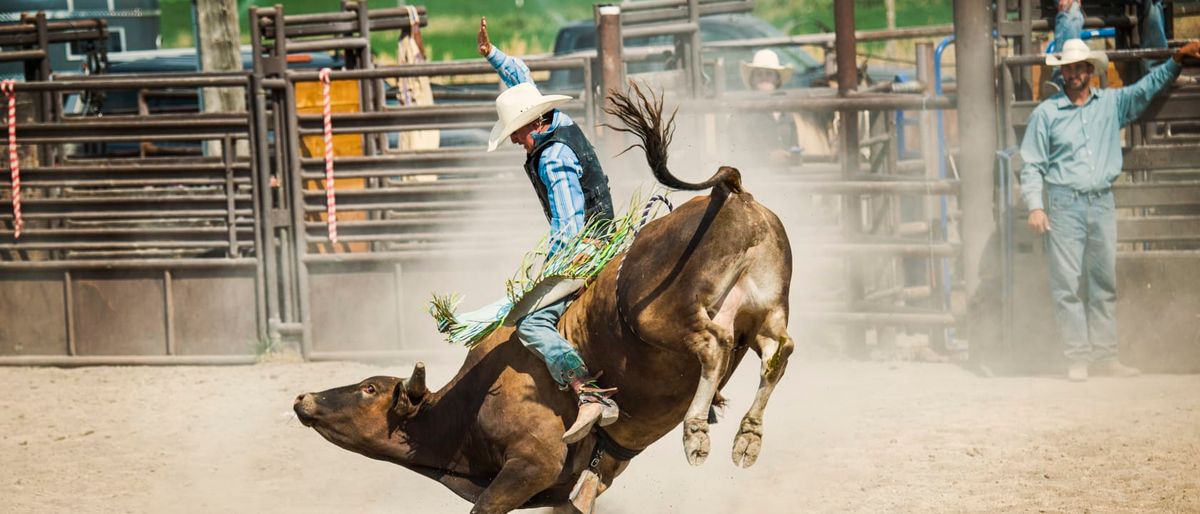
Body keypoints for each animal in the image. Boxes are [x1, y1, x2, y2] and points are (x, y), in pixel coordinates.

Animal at [294, 85, 792, 514]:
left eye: (369, 388)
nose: (303, 397)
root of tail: (733, 193)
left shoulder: (532, 463)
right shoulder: (581, 486)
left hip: (662, 317)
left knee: (714, 346)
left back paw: (695, 434)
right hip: (765, 310)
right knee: (777, 351)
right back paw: (747, 438)